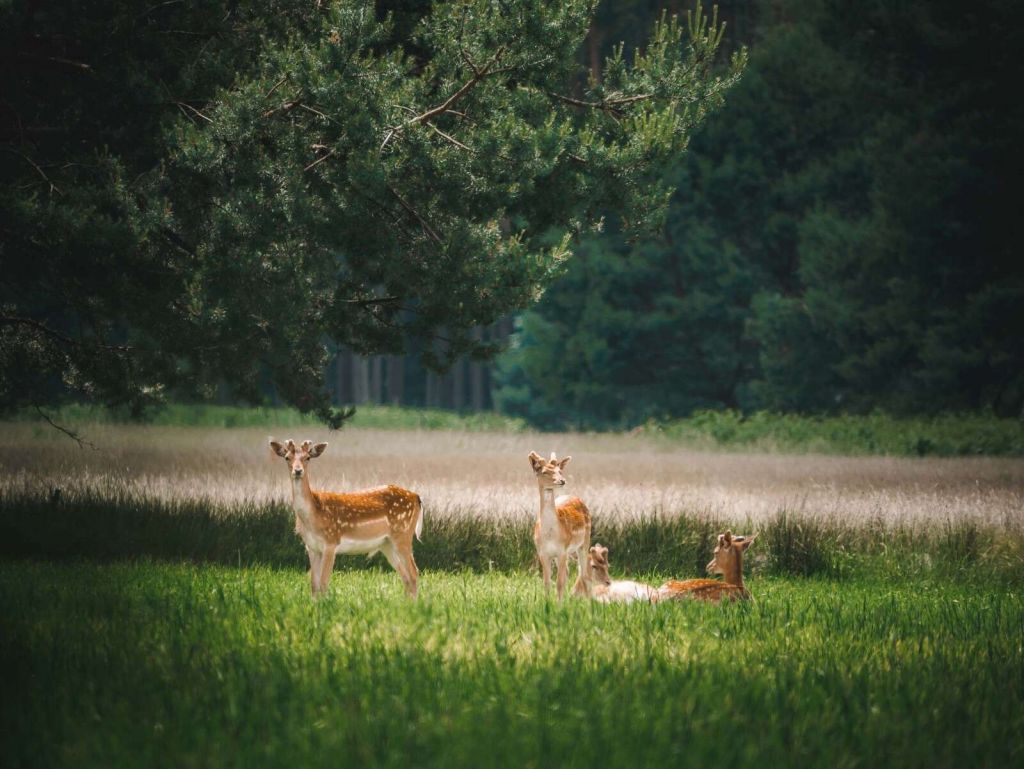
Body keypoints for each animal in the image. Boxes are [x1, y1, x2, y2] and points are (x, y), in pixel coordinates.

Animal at [272, 438, 423, 602]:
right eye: (287, 457)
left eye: (308, 457)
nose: (298, 471)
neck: (313, 515)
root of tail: (416, 497)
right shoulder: (311, 547)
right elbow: (314, 585)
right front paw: (314, 605)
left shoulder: (331, 541)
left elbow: (324, 583)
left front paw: (324, 605)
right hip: (387, 544)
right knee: (406, 576)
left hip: (403, 534)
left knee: (414, 572)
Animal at [528, 450, 593, 602]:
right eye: (544, 471)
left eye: (560, 471)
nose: (562, 481)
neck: (550, 534)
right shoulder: (543, 553)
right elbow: (547, 582)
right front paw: (547, 603)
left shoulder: (562, 550)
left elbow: (559, 582)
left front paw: (558, 604)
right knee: (569, 572)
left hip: (584, 541)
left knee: (584, 574)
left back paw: (589, 601)